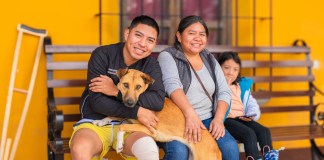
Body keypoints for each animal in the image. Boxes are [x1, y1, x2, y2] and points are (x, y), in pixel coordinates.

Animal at [92, 68, 221, 159]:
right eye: (126, 85)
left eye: (138, 87)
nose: (130, 103)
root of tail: (217, 150)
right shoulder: (130, 115)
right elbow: (115, 115)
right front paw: (101, 121)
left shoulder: (150, 129)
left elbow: (122, 126)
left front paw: (119, 144)